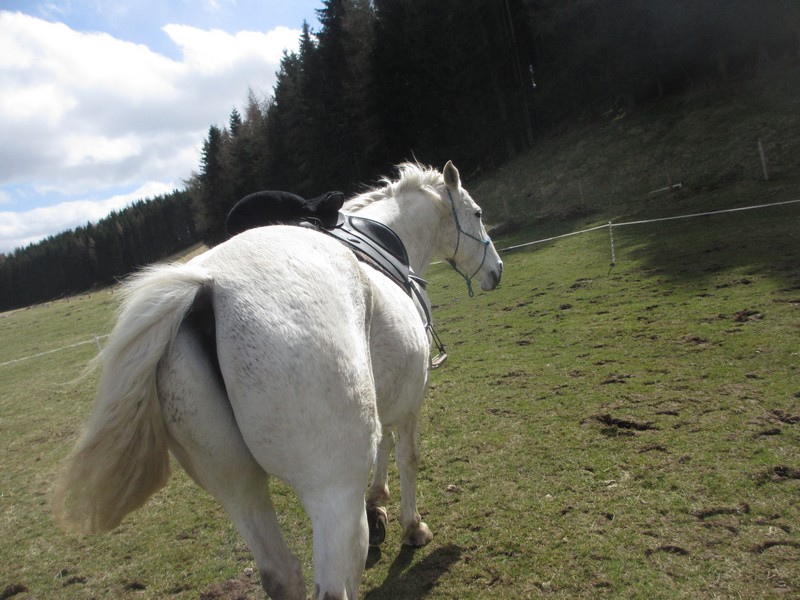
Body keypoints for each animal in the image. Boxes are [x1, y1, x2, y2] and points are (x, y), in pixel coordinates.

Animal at [53, 161, 503, 600]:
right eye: (478, 213)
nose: (496, 271)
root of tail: (206, 287)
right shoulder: (410, 401)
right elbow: (408, 457)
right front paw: (412, 527)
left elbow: (384, 444)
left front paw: (378, 503)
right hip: (331, 492)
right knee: (333, 583)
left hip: (238, 488)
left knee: (281, 573)